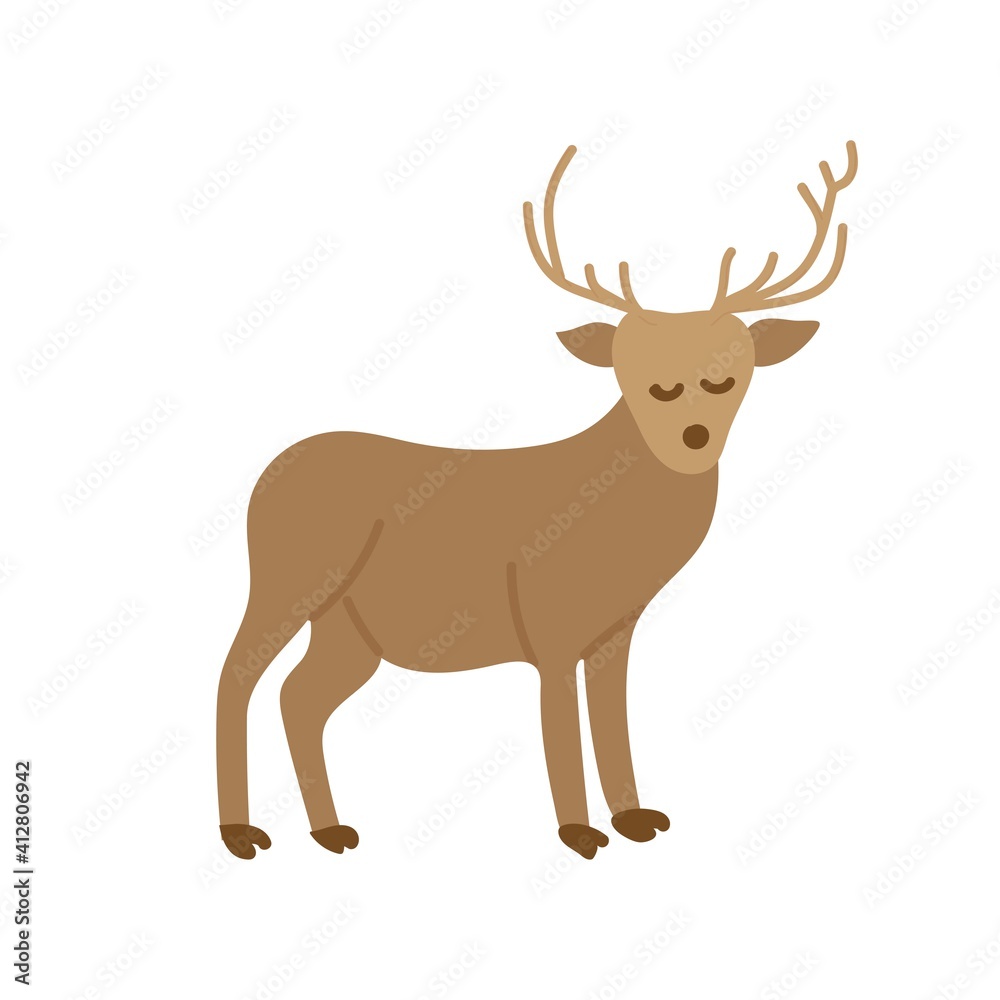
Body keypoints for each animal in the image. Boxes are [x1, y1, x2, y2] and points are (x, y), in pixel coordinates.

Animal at [217, 140, 858, 861]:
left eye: (731, 372)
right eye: (634, 373)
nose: (691, 435)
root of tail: (266, 476)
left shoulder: (615, 630)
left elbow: (610, 716)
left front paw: (635, 816)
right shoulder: (544, 617)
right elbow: (558, 721)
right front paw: (579, 832)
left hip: (350, 627)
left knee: (299, 697)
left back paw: (330, 830)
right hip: (287, 576)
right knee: (236, 674)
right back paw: (240, 833)